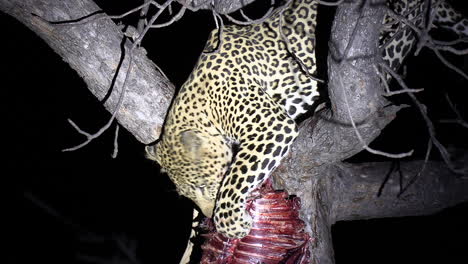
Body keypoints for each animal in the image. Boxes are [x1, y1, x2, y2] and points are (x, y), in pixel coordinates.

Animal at [144, 0, 466, 239]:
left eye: (202, 186)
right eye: (188, 193)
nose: (206, 216)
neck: (196, 103)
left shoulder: (269, 125)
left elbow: (235, 179)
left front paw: (232, 223)